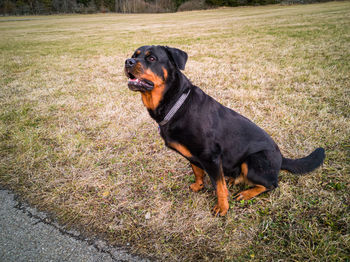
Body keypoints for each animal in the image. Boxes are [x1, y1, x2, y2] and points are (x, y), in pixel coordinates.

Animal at [123, 45, 326, 217]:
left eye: (151, 58)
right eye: (135, 55)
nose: (128, 61)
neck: (175, 103)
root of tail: (282, 158)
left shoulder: (210, 156)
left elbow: (218, 188)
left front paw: (222, 208)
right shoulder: (194, 156)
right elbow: (198, 172)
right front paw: (198, 186)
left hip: (254, 160)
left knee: (271, 184)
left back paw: (246, 193)